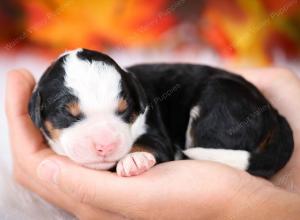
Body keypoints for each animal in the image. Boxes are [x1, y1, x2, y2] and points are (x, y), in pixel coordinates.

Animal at [29, 47, 292, 178]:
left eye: (124, 111)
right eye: (68, 113)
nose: (105, 145)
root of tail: (273, 112)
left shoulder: (157, 133)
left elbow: (149, 144)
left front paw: (134, 159)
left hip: (218, 105)